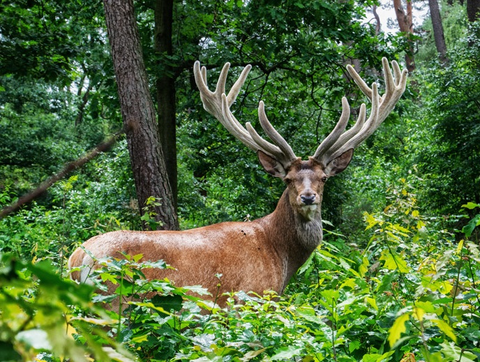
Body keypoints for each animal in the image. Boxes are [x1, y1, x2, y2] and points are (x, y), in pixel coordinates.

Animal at [66, 58, 404, 306]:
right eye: (288, 179)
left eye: (323, 178)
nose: (308, 197)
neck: (280, 255)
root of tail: (75, 261)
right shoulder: (249, 297)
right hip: (112, 300)